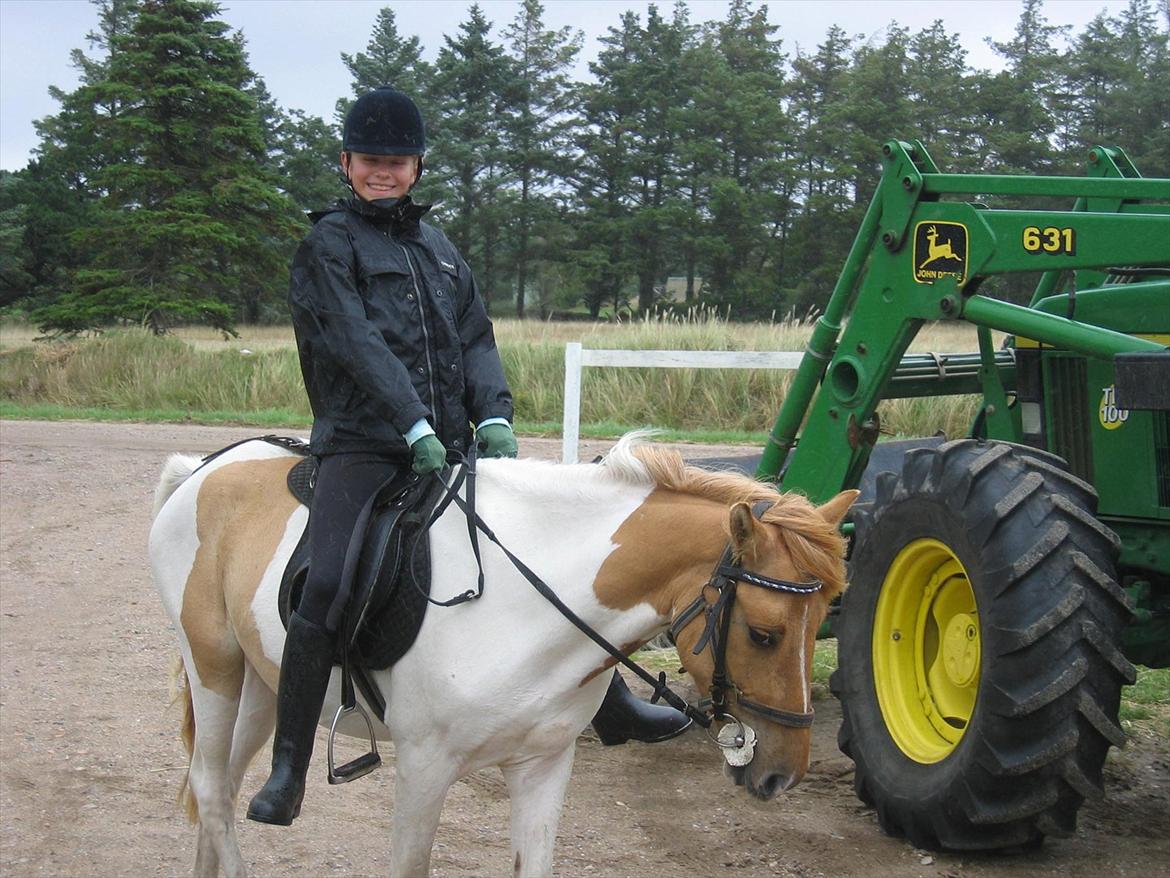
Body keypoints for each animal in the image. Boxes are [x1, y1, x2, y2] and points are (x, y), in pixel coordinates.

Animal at [150, 437, 856, 875]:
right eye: (763, 633)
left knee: (217, 788)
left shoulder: (543, 766)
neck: (525, 606)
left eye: (828, 617)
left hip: (262, 686)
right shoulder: (424, 769)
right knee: (211, 787)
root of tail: (203, 468)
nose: (782, 775)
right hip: (215, 669)